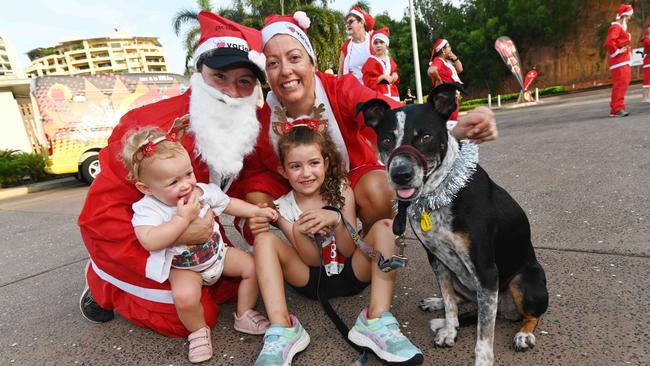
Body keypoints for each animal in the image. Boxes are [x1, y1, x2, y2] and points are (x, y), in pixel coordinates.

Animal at [360, 84, 548, 364]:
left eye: (425, 136)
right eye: (386, 140)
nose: (400, 174)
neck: (441, 192)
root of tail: (505, 310)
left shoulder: (486, 270)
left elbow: (484, 333)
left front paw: (483, 359)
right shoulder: (437, 260)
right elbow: (450, 302)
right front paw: (449, 330)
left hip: (522, 283)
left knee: (529, 315)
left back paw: (524, 334)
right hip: (461, 278)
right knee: (463, 301)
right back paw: (437, 305)